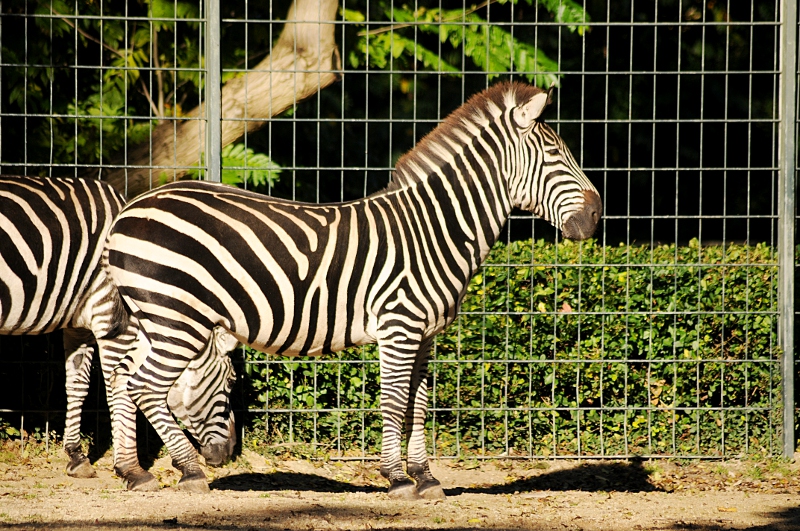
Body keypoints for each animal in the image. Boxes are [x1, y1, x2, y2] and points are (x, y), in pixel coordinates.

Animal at [0, 176, 236, 483]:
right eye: (230, 381)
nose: (231, 453)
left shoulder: (79, 325)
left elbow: (77, 384)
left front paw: (76, 456)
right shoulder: (113, 315)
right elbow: (120, 386)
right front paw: (132, 469)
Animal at [103, 81, 602, 497]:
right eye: (556, 156)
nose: (597, 216)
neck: (435, 229)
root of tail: (128, 210)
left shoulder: (425, 334)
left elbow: (418, 405)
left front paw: (425, 477)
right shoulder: (400, 326)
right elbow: (394, 402)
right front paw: (398, 479)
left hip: (156, 318)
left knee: (123, 377)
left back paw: (135, 472)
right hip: (177, 318)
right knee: (144, 385)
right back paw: (189, 472)